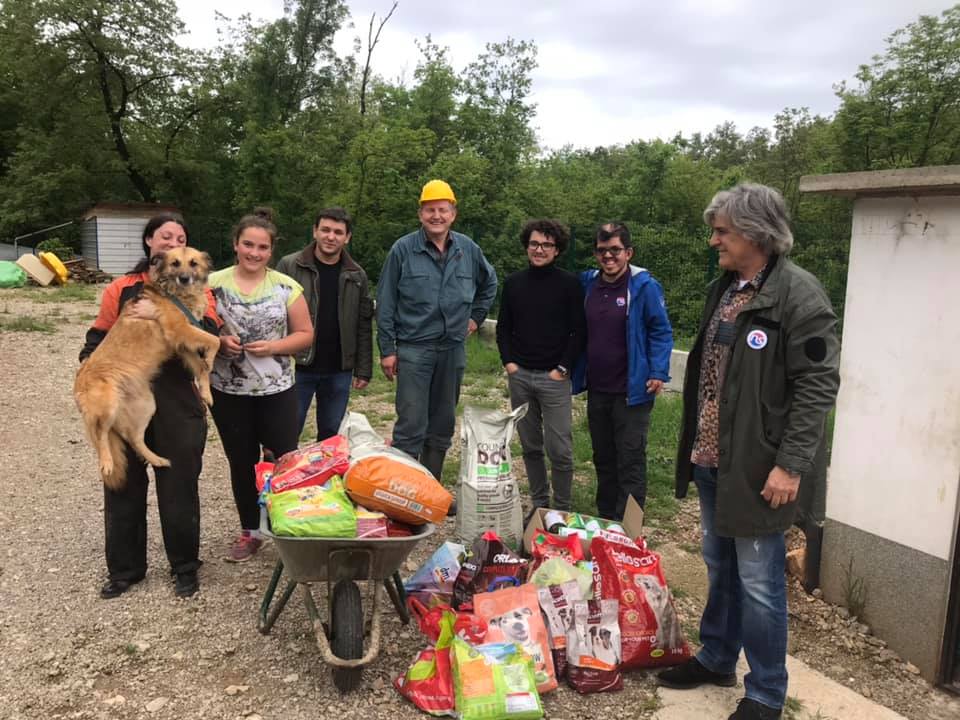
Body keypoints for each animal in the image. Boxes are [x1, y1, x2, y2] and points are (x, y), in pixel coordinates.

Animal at [74, 248, 221, 490]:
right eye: (175, 263)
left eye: (193, 263)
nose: (184, 278)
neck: (175, 293)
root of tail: (79, 382)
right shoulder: (179, 330)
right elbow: (214, 340)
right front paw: (210, 357)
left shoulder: (181, 343)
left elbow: (201, 364)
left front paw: (206, 391)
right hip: (107, 406)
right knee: (102, 434)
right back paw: (106, 462)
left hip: (146, 405)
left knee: (134, 438)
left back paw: (157, 459)